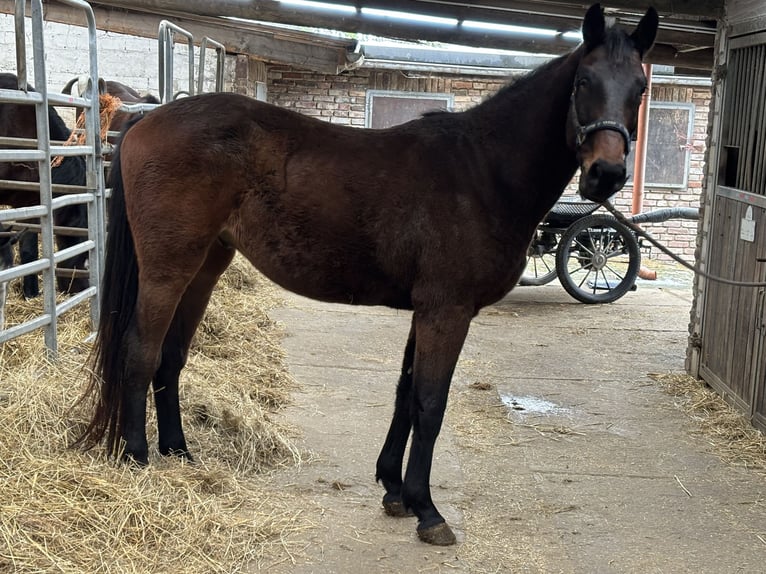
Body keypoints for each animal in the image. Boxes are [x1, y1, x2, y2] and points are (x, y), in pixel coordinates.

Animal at [76, 4, 658, 546]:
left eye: (641, 88)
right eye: (583, 82)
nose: (607, 174)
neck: (482, 172)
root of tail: (146, 120)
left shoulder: (426, 310)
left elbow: (405, 394)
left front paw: (394, 491)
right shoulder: (447, 311)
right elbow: (429, 402)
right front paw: (428, 510)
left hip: (204, 266)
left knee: (171, 358)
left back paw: (179, 451)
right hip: (167, 269)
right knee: (140, 352)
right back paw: (137, 458)